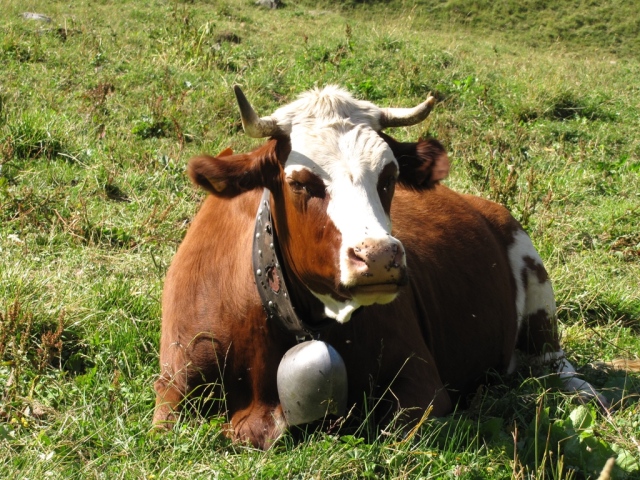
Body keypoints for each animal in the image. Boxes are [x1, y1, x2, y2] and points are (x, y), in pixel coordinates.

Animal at [152, 84, 604, 448]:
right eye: (299, 182)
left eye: (389, 175)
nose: (379, 256)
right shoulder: (172, 386)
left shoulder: (422, 385)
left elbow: (399, 429)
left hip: (536, 282)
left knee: (552, 364)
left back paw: (585, 394)